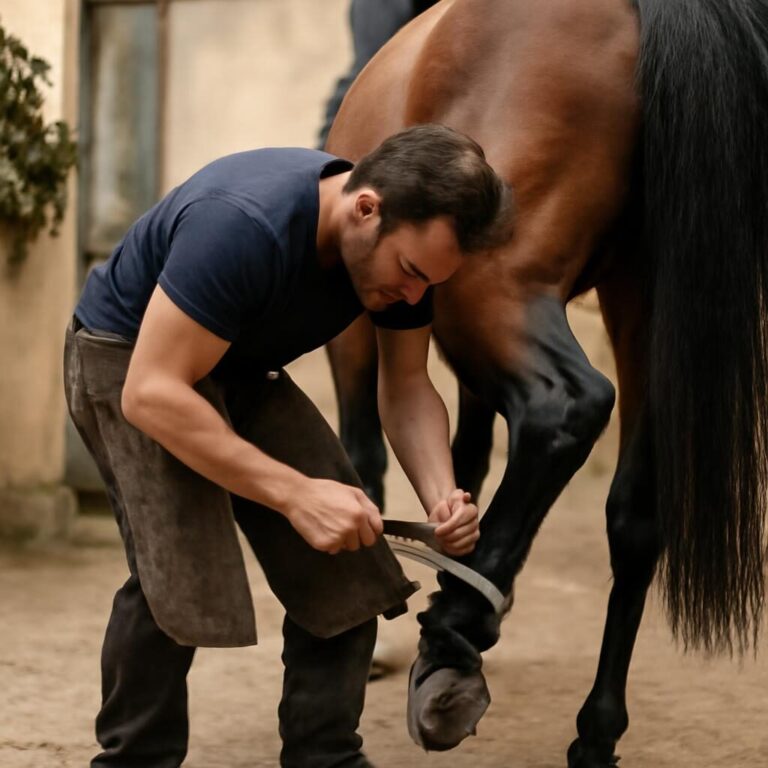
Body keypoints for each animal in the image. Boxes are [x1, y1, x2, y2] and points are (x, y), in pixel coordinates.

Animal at [323, 0, 768, 764]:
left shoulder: (365, 322)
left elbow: (370, 450)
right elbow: (464, 459)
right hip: (647, 301)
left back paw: (453, 642)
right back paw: (593, 727)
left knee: (565, 406)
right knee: (635, 513)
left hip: (486, 284)